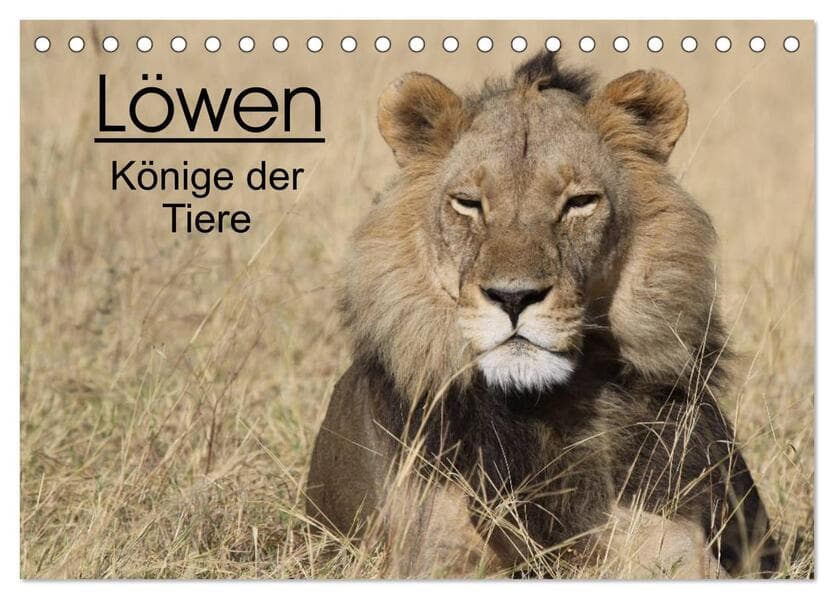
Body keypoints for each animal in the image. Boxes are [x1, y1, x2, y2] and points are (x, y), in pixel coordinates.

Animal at [306, 52, 781, 579]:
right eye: (468, 204)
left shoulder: (675, 546)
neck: (538, 409)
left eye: (579, 203)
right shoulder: (429, 552)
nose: (514, 297)